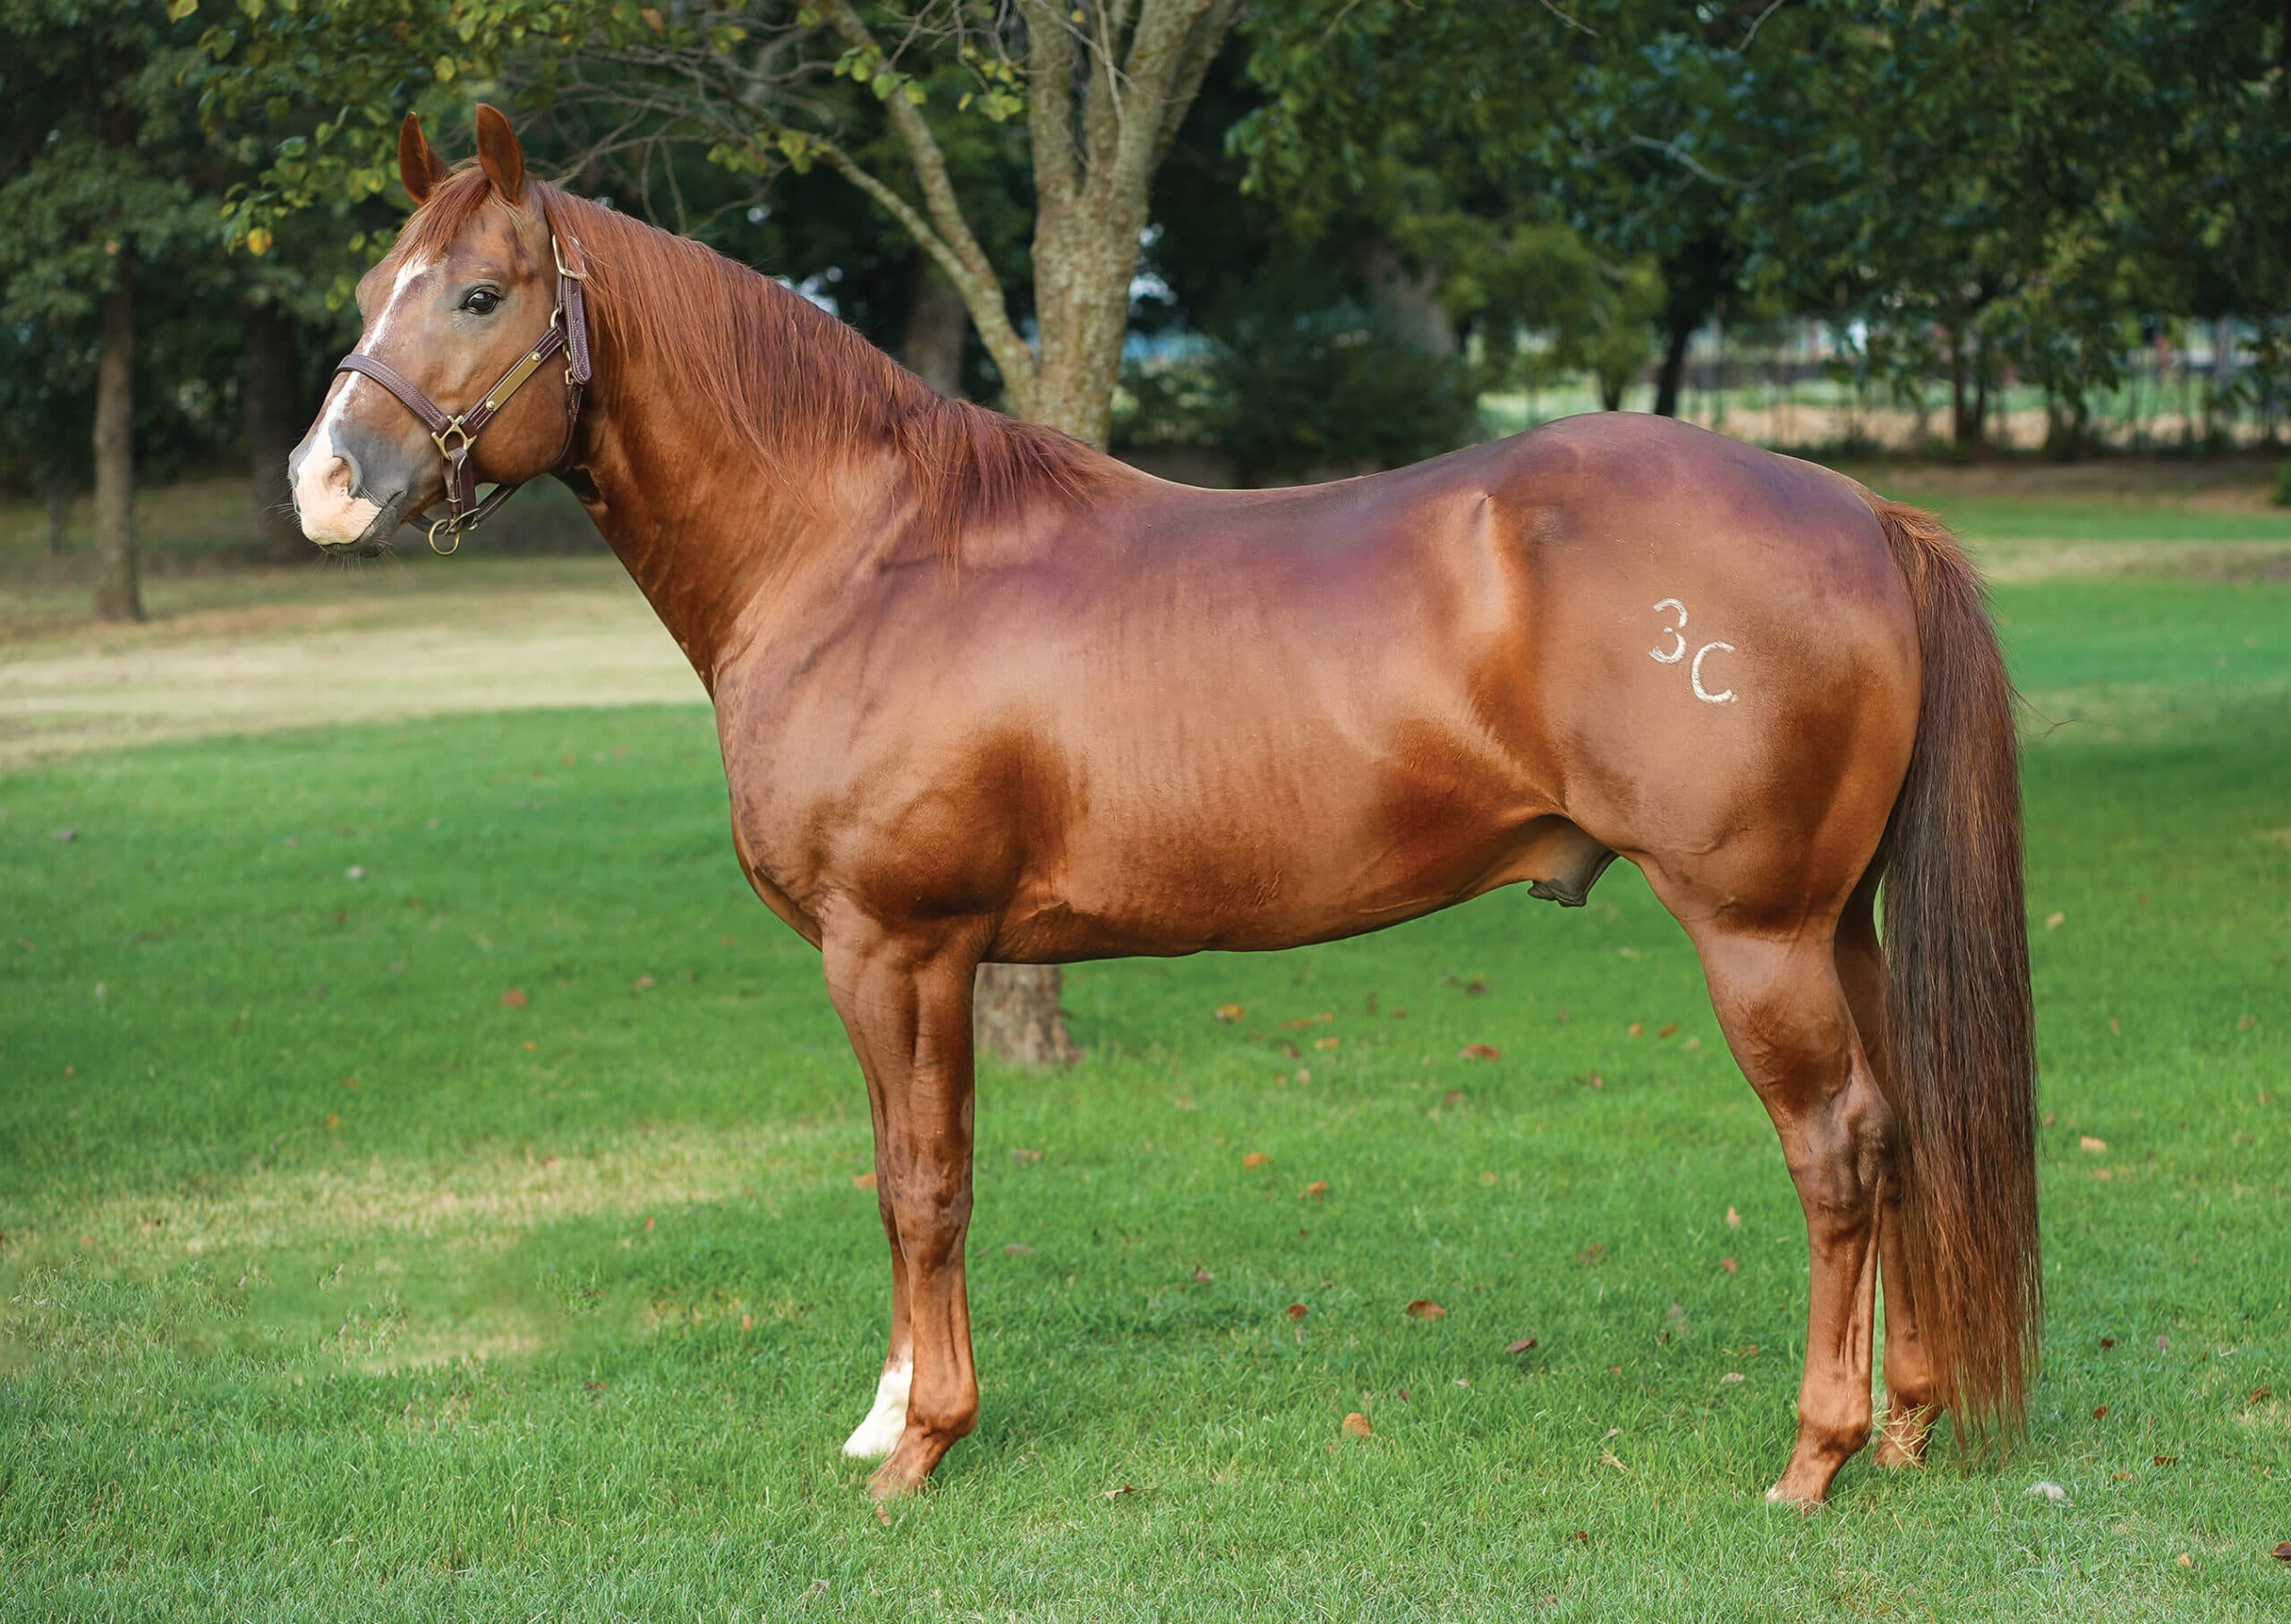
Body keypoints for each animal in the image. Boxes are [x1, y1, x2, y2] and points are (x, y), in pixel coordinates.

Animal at [289, 106, 2038, 1508]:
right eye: (373, 289)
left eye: (479, 293)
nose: (325, 481)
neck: (863, 554)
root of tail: (1858, 509)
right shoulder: (910, 960)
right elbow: (905, 1172)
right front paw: (889, 1415)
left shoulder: (899, 945)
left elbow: (922, 1184)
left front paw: (923, 1444)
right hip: (1843, 927)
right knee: (1906, 1132)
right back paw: (1906, 1428)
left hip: (1758, 933)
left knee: (1837, 1153)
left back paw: (1813, 1456)